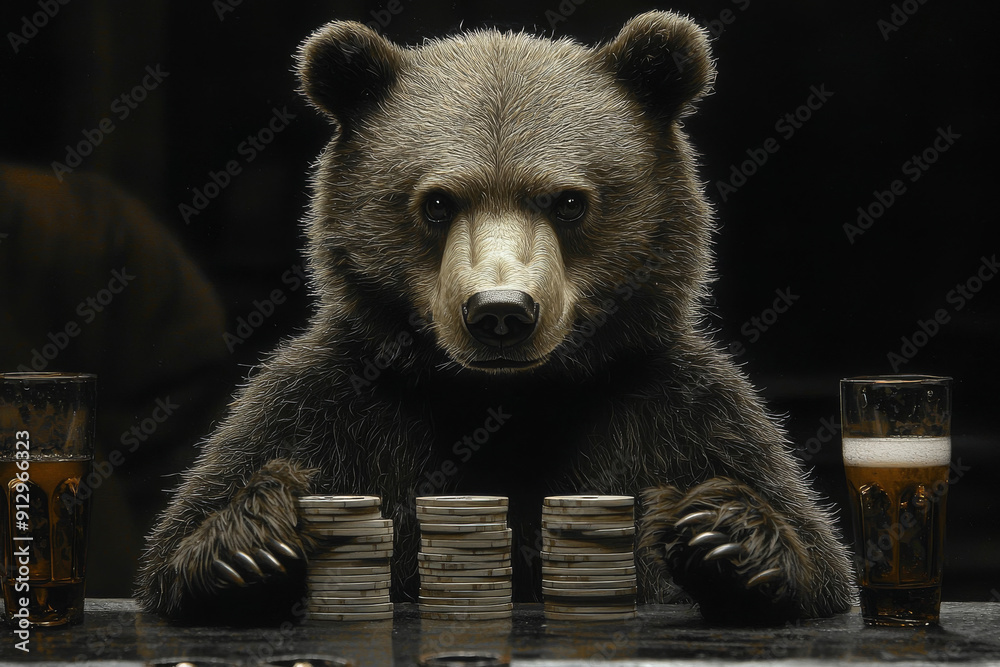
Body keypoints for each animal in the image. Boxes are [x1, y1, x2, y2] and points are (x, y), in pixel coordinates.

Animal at [135, 10, 854, 626]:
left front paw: (726, 537)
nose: (501, 310)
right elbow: (184, 535)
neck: (505, 397)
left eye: (568, 200)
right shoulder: (332, 405)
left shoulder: (674, 408)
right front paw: (249, 543)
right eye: (437, 201)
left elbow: (811, 547)